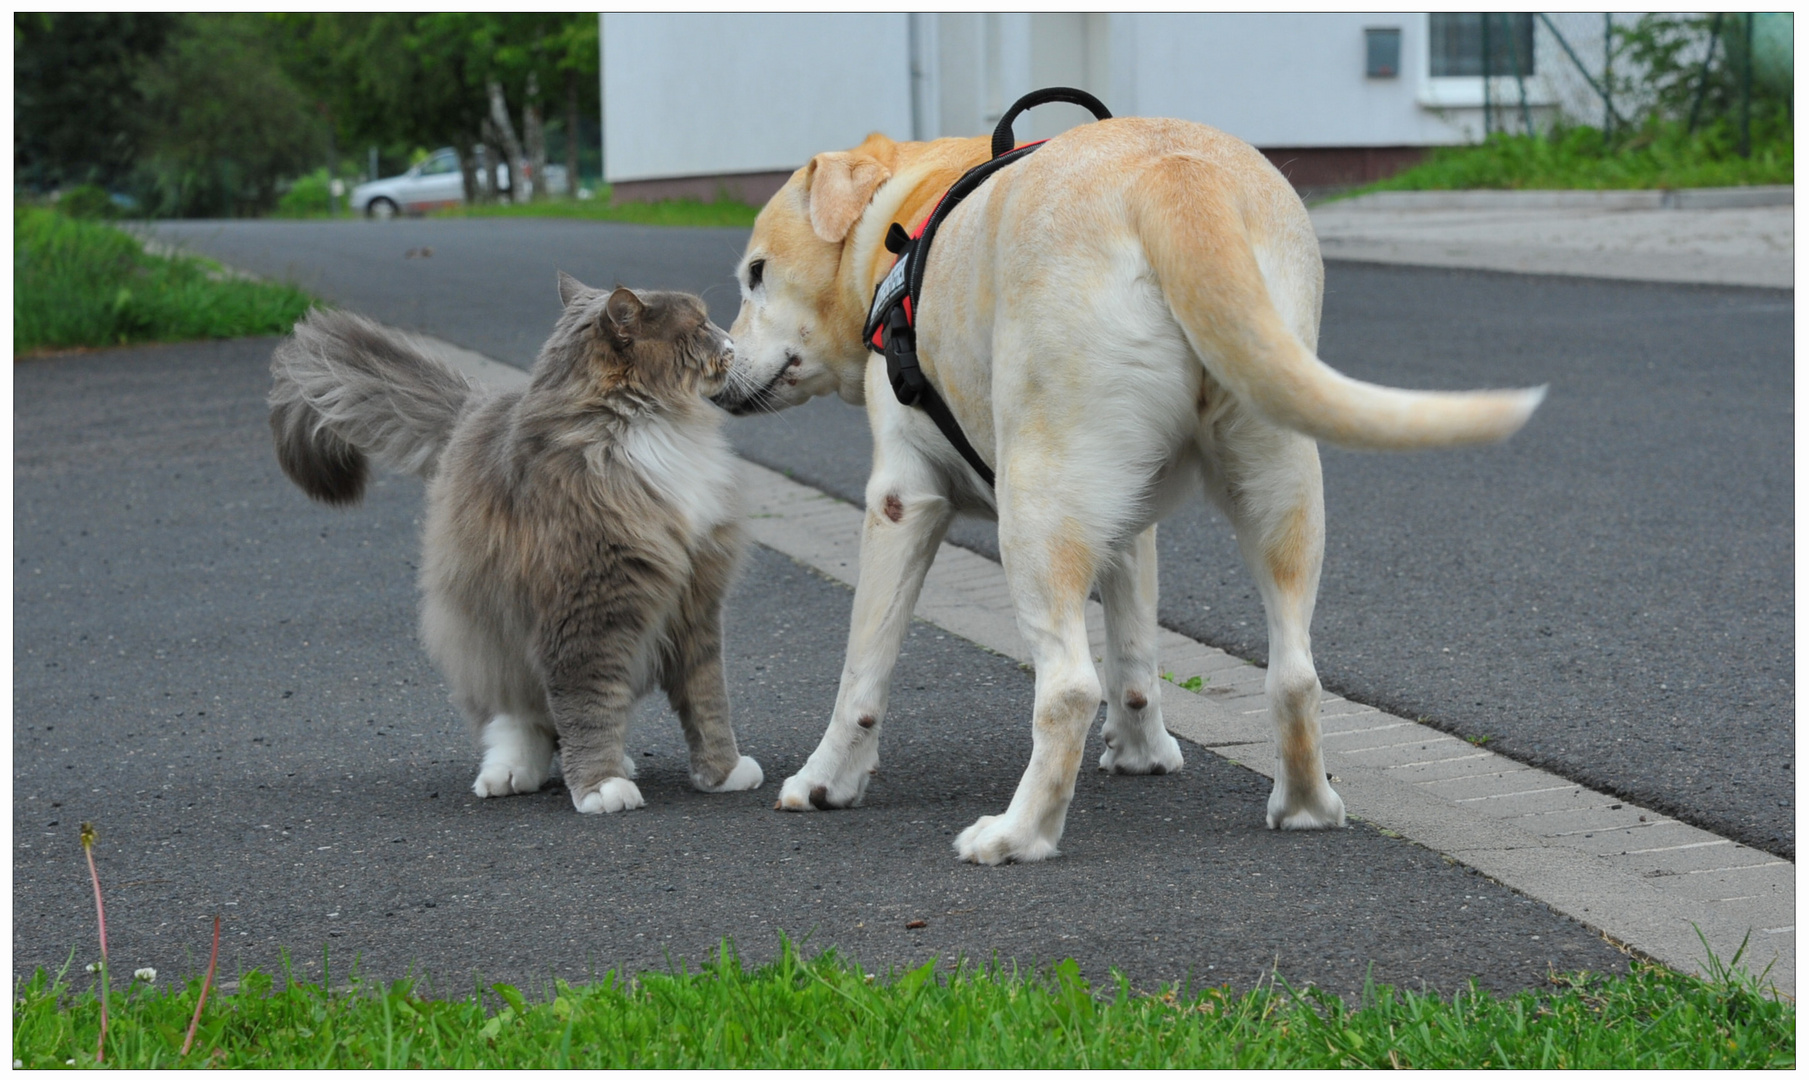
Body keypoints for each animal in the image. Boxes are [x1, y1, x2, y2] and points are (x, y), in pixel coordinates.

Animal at [264, 273, 759, 814]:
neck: (648, 430)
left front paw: (724, 771)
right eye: (700, 326)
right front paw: (600, 786)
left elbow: (708, 704)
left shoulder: (696, 609)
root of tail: (474, 407)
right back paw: (511, 772)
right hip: (491, 637)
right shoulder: (586, 616)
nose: (733, 345)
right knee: (520, 717)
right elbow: (587, 709)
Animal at [716, 117, 1541, 864]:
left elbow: (861, 676)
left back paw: (1017, 836)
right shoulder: (1126, 523)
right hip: (1277, 484)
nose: (714, 375)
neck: (908, 222)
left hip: (1035, 512)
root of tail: (1173, 179)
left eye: (755, 274)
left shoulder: (901, 502)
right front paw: (1143, 749)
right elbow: (1137, 654)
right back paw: (1305, 806)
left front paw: (826, 782)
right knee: (1294, 674)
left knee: (1069, 688)